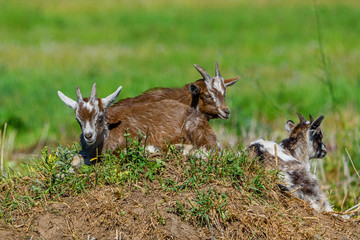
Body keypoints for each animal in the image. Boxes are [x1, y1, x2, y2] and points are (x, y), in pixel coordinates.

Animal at [58, 83, 217, 164]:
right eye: (78, 119)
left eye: (100, 116)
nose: (88, 135)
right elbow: (74, 159)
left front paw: (148, 150)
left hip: (195, 128)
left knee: (212, 149)